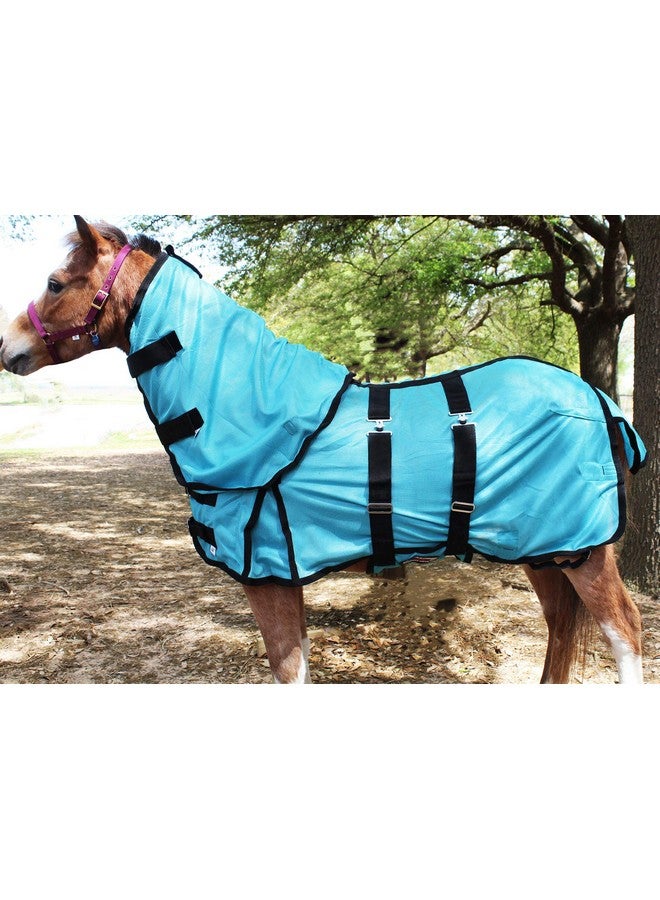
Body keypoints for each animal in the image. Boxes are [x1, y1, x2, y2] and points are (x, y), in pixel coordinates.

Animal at [0, 216, 646, 684]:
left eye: (55, 284)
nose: (9, 347)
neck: (248, 404)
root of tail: (600, 401)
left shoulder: (268, 580)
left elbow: (289, 674)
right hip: (545, 551)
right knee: (561, 628)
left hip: (584, 552)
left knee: (625, 630)